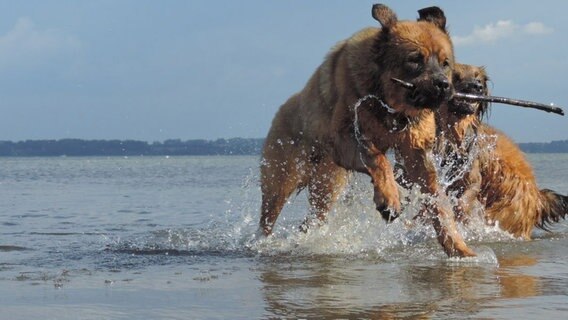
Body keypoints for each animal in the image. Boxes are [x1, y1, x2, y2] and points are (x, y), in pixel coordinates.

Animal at [260, 3, 474, 256]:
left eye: (445, 63)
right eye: (414, 60)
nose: (443, 85)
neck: (390, 106)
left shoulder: (417, 153)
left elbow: (437, 202)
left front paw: (458, 247)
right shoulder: (345, 140)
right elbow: (378, 159)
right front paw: (389, 199)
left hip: (327, 184)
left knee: (313, 218)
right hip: (280, 179)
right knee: (268, 216)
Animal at [438, 63, 564, 238]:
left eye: (478, 78)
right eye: (456, 76)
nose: (477, 87)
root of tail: (538, 197)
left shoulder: (472, 176)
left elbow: (463, 202)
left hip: (508, 211)